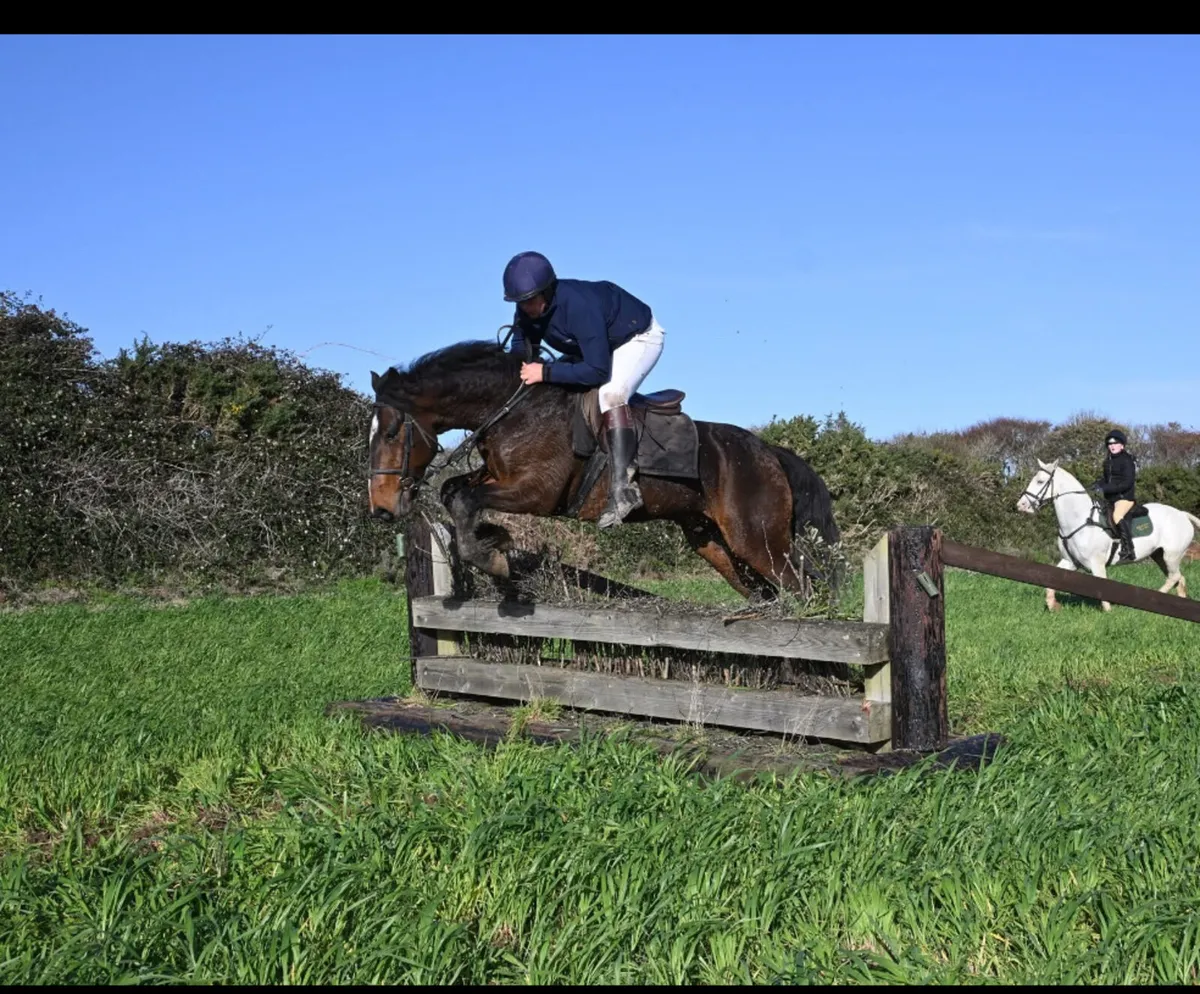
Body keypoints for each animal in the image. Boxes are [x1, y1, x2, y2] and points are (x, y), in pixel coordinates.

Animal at [367, 339, 841, 602]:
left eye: (390, 432)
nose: (382, 509)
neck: (512, 409)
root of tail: (768, 453)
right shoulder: (498, 477)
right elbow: (454, 491)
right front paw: (496, 540)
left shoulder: (536, 492)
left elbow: (465, 498)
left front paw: (495, 559)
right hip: (713, 543)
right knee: (768, 591)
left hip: (756, 538)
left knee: (802, 586)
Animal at [1015, 458, 1200, 611]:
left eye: (1040, 481)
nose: (1021, 505)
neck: (1079, 520)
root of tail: (1182, 514)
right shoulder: (1070, 561)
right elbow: (1051, 579)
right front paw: (1052, 605)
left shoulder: (1096, 563)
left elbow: (1102, 589)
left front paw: (1108, 611)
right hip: (1160, 556)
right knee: (1178, 578)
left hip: (1172, 556)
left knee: (1174, 577)